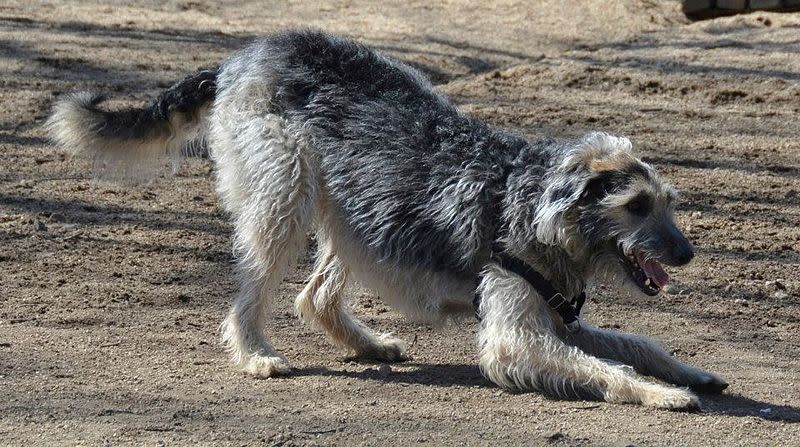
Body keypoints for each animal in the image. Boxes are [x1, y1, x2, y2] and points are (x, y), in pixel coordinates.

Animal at [47, 29, 728, 412]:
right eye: (636, 206)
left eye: (670, 202)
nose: (687, 255)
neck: (535, 201)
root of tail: (243, 56)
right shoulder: (517, 337)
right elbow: (610, 369)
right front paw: (662, 393)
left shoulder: (562, 321)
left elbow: (636, 344)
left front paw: (689, 373)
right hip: (284, 193)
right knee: (252, 291)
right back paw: (256, 354)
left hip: (352, 210)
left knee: (316, 296)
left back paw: (366, 344)